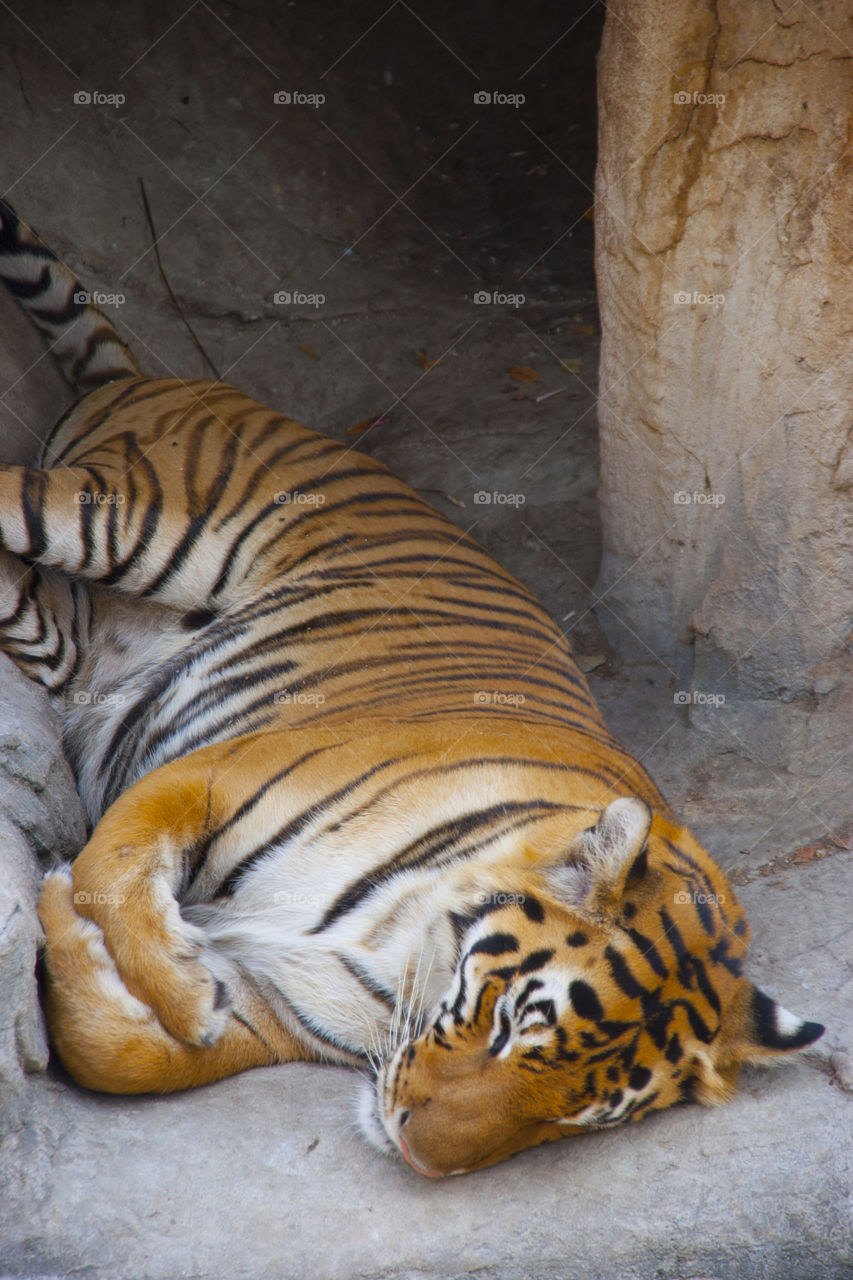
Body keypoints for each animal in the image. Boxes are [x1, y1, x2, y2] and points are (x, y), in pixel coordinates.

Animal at [0, 202, 819, 1177]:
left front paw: (91, 949)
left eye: (580, 1114)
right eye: (512, 1023)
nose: (422, 1154)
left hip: (67, 640)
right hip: (129, 518)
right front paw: (174, 987)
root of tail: (162, 380)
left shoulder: (276, 1001)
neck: (394, 960)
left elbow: (114, 1051)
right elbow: (112, 866)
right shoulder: (208, 773)